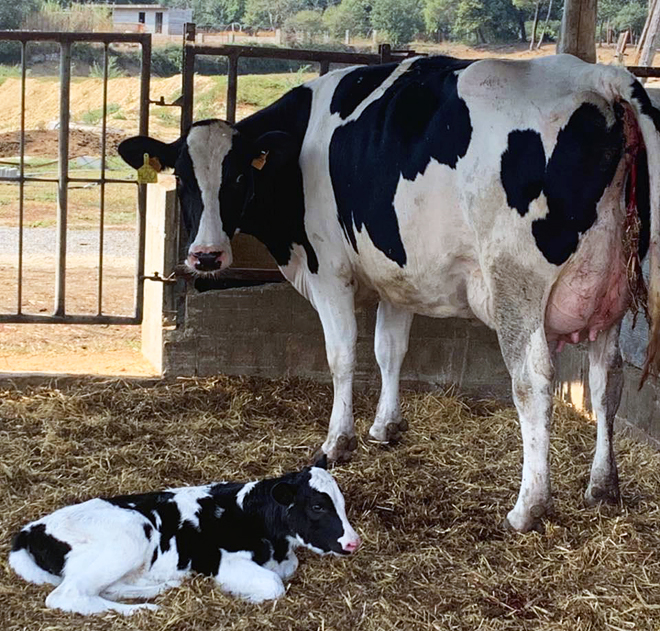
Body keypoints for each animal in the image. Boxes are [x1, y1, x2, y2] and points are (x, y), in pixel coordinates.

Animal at [8, 458, 360, 615]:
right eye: (317, 505)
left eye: (342, 501)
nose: (353, 541)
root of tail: (31, 529)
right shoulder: (226, 563)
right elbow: (274, 586)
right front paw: (242, 595)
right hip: (130, 536)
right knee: (67, 595)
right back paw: (144, 610)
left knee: (107, 588)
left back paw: (161, 588)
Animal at [118, 54, 660, 533]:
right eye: (182, 176)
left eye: (236, 176)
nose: (206, 256)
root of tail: (598, 76)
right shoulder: (397, 277)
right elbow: (389, 350)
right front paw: (386, 427)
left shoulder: (328, 270)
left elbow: (342, 356)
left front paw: (337, 443)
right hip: (613, 293)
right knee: (605, 380)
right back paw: (602, 486)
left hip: (516, 283)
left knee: (535, 384)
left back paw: (528, 507)